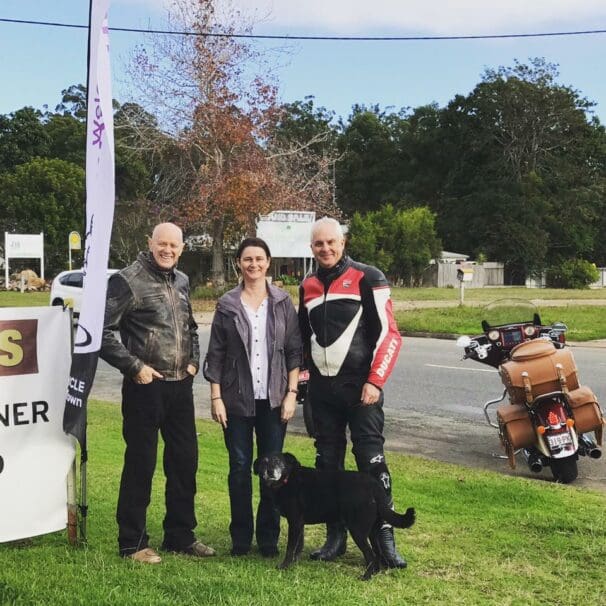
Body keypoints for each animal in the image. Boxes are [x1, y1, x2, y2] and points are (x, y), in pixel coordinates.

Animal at [253, 454, 418, 580]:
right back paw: (374, 573)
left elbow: (290, 548)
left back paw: (366, 577)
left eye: (278, 461)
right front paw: (293, 564)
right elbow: (298, 547)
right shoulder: (299, 524)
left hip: (358, 530)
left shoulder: (294, 522)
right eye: (263, 462)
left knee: (370, 555)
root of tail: (374, 485)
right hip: (372, 530)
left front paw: (284, 566)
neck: (287, 479)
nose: (270, 471)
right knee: (377, 554)